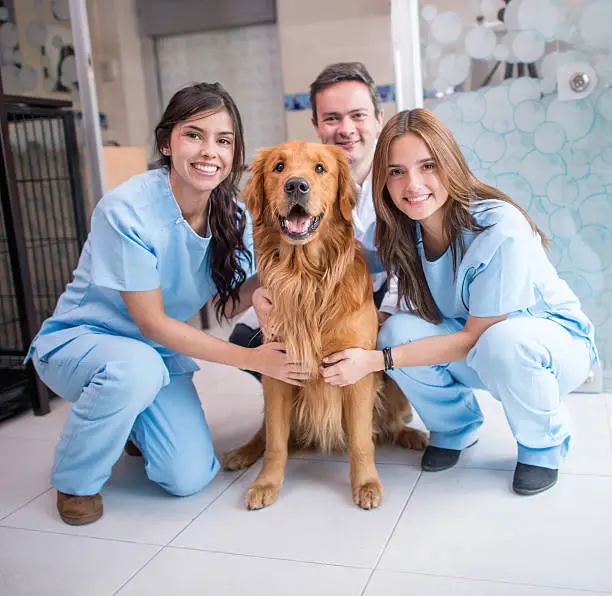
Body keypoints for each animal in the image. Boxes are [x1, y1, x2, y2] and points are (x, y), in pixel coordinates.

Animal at [222, 140, 428, 508]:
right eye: (278, 167)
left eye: (320, 169)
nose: (296, 185)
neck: (306, 277)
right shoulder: (277, 371)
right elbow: (275, 443)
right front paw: (266, 483)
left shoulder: (354, 369)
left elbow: (361, 441)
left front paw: (366, 484)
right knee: (264, 433)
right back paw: (241, 453)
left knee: (389, 424)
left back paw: (411, 435)